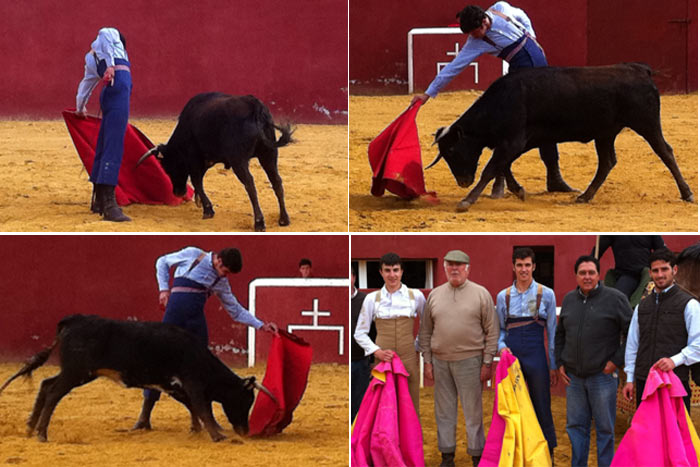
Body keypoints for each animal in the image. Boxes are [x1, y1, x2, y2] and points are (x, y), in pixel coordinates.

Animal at [0, 316, 274, 444]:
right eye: (245, 400)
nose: (245, 431)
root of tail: (73, 320)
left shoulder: (173, 385)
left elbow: (193, 406)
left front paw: (198, 429)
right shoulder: (191, 382)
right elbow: (202, 407)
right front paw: (217, 434)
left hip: (78, 373)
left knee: (46, 385)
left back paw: (30, 427)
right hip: (76, 372)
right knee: (54, 392)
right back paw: (42, 433)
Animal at [137, 92, 292, 231]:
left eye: (169, 168)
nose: (178, 193)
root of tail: (255, 105)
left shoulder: (194, 158)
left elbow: (196, 181)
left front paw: (207, 209)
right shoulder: (207, 159)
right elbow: (199, 180)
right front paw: (200, 201)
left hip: (239, 160)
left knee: (250, 184)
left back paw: (259, 223)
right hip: (269, 154)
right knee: (276, 181)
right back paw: (283, 219)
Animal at [430, 62, 696, 212]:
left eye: (452, 150)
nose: (462, 181)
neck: (502, 101)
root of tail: (640, 70)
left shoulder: (513, 141)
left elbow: (491, 168)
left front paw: (466, 201)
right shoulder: (517, 143)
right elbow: (503, 166)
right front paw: (518, 191)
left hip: (646, 124)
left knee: (665, 151)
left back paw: (687, 193)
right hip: (605, 133)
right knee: (607, 162)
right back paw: (585, 196)